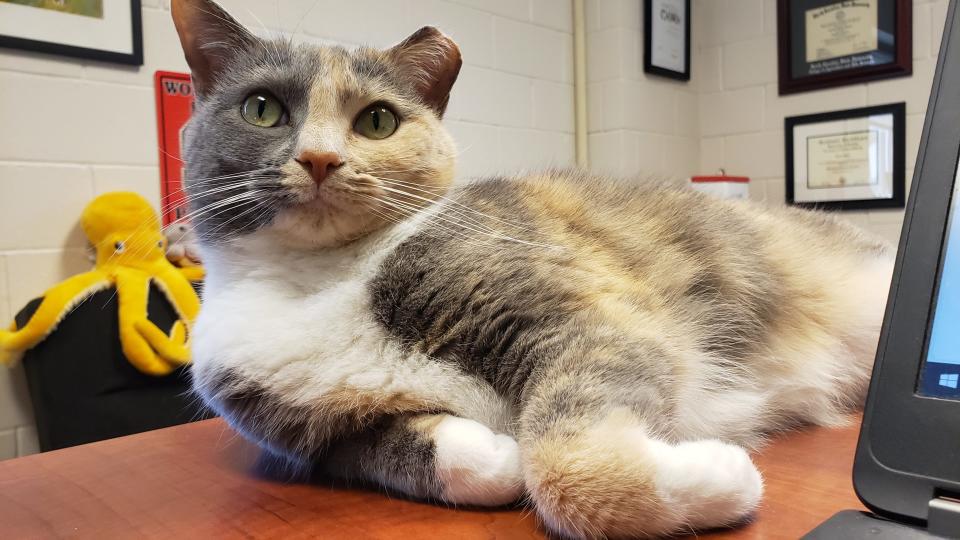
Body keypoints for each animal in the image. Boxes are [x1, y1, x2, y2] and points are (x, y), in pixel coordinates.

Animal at [171, 2, 892, 536]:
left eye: (377, 120)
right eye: (262, 108)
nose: (320, 158)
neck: (314, 283)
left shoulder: (584, 315)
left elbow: (566, 465)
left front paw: (721, 475)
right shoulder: (318, 442)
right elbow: (401, 452)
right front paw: (496, 454)